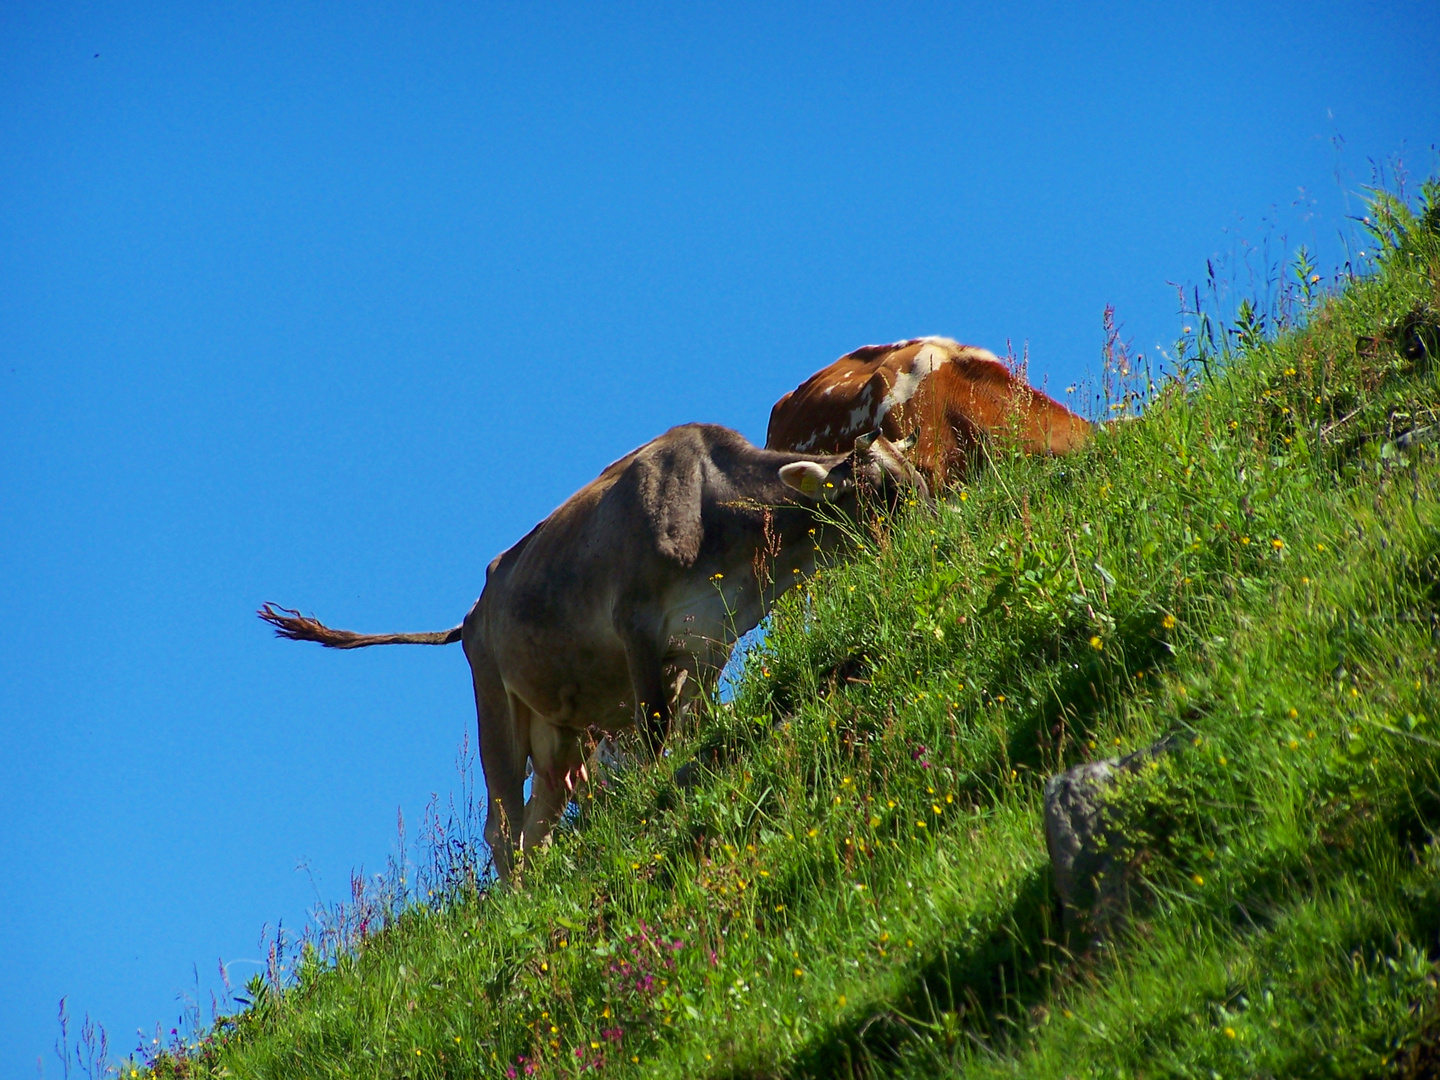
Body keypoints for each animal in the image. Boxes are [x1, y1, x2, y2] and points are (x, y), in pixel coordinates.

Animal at [257, 420, 921, 881]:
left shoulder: (711, 641)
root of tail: (471, 614)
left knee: (538, 821)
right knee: (502, 826)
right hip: (496, 704)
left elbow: (693, 730)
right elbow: (654, 736)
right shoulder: (637, 627)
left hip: (559, 732)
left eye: (913, 477)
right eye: (877, 489)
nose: (933, 525)